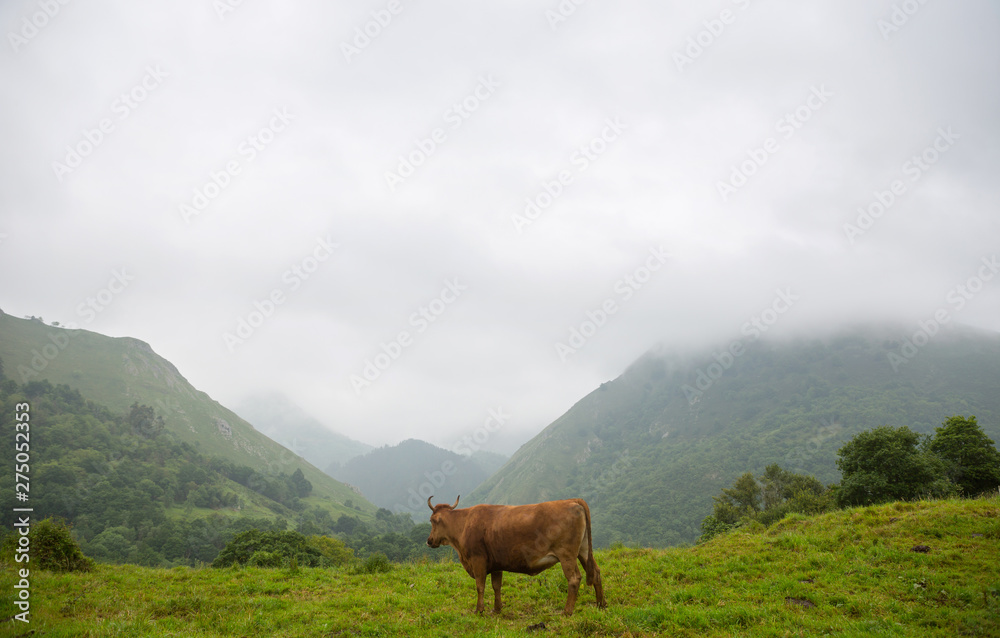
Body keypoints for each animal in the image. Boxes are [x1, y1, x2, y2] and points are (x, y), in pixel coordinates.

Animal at [425, 495, 606, 616]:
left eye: (432, 521)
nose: (429, 541)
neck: (464, 524)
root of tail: (572, 500)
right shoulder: (496, 564)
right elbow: (496, 586)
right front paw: (497, 609)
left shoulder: (478, 560)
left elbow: (480, 586)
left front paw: (479, 610)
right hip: (583, 551)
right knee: (596, 572)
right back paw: (601, 604)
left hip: (566, 554)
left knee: (574, 578)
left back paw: (567, 611)